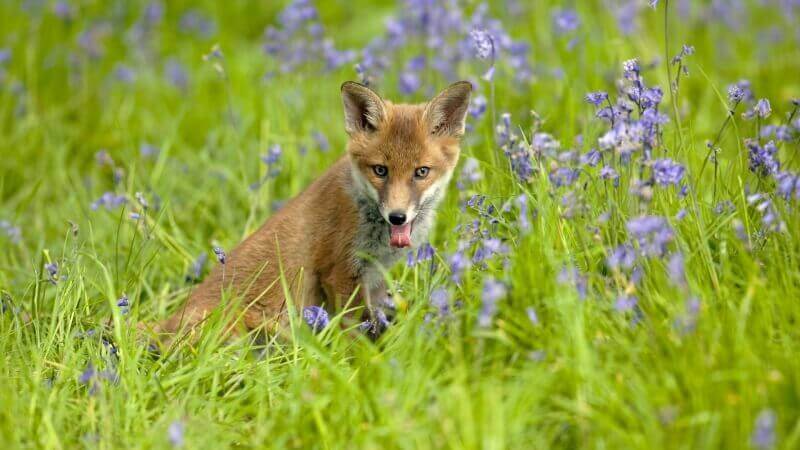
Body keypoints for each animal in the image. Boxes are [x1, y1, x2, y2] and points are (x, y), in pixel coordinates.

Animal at [155, 81, 468, 342]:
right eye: (381, 170)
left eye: (421, 172)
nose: (397, 216)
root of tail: (166, 325)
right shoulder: (340, 272)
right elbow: (356, 333)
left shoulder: (375, 277)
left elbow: (376, 320)